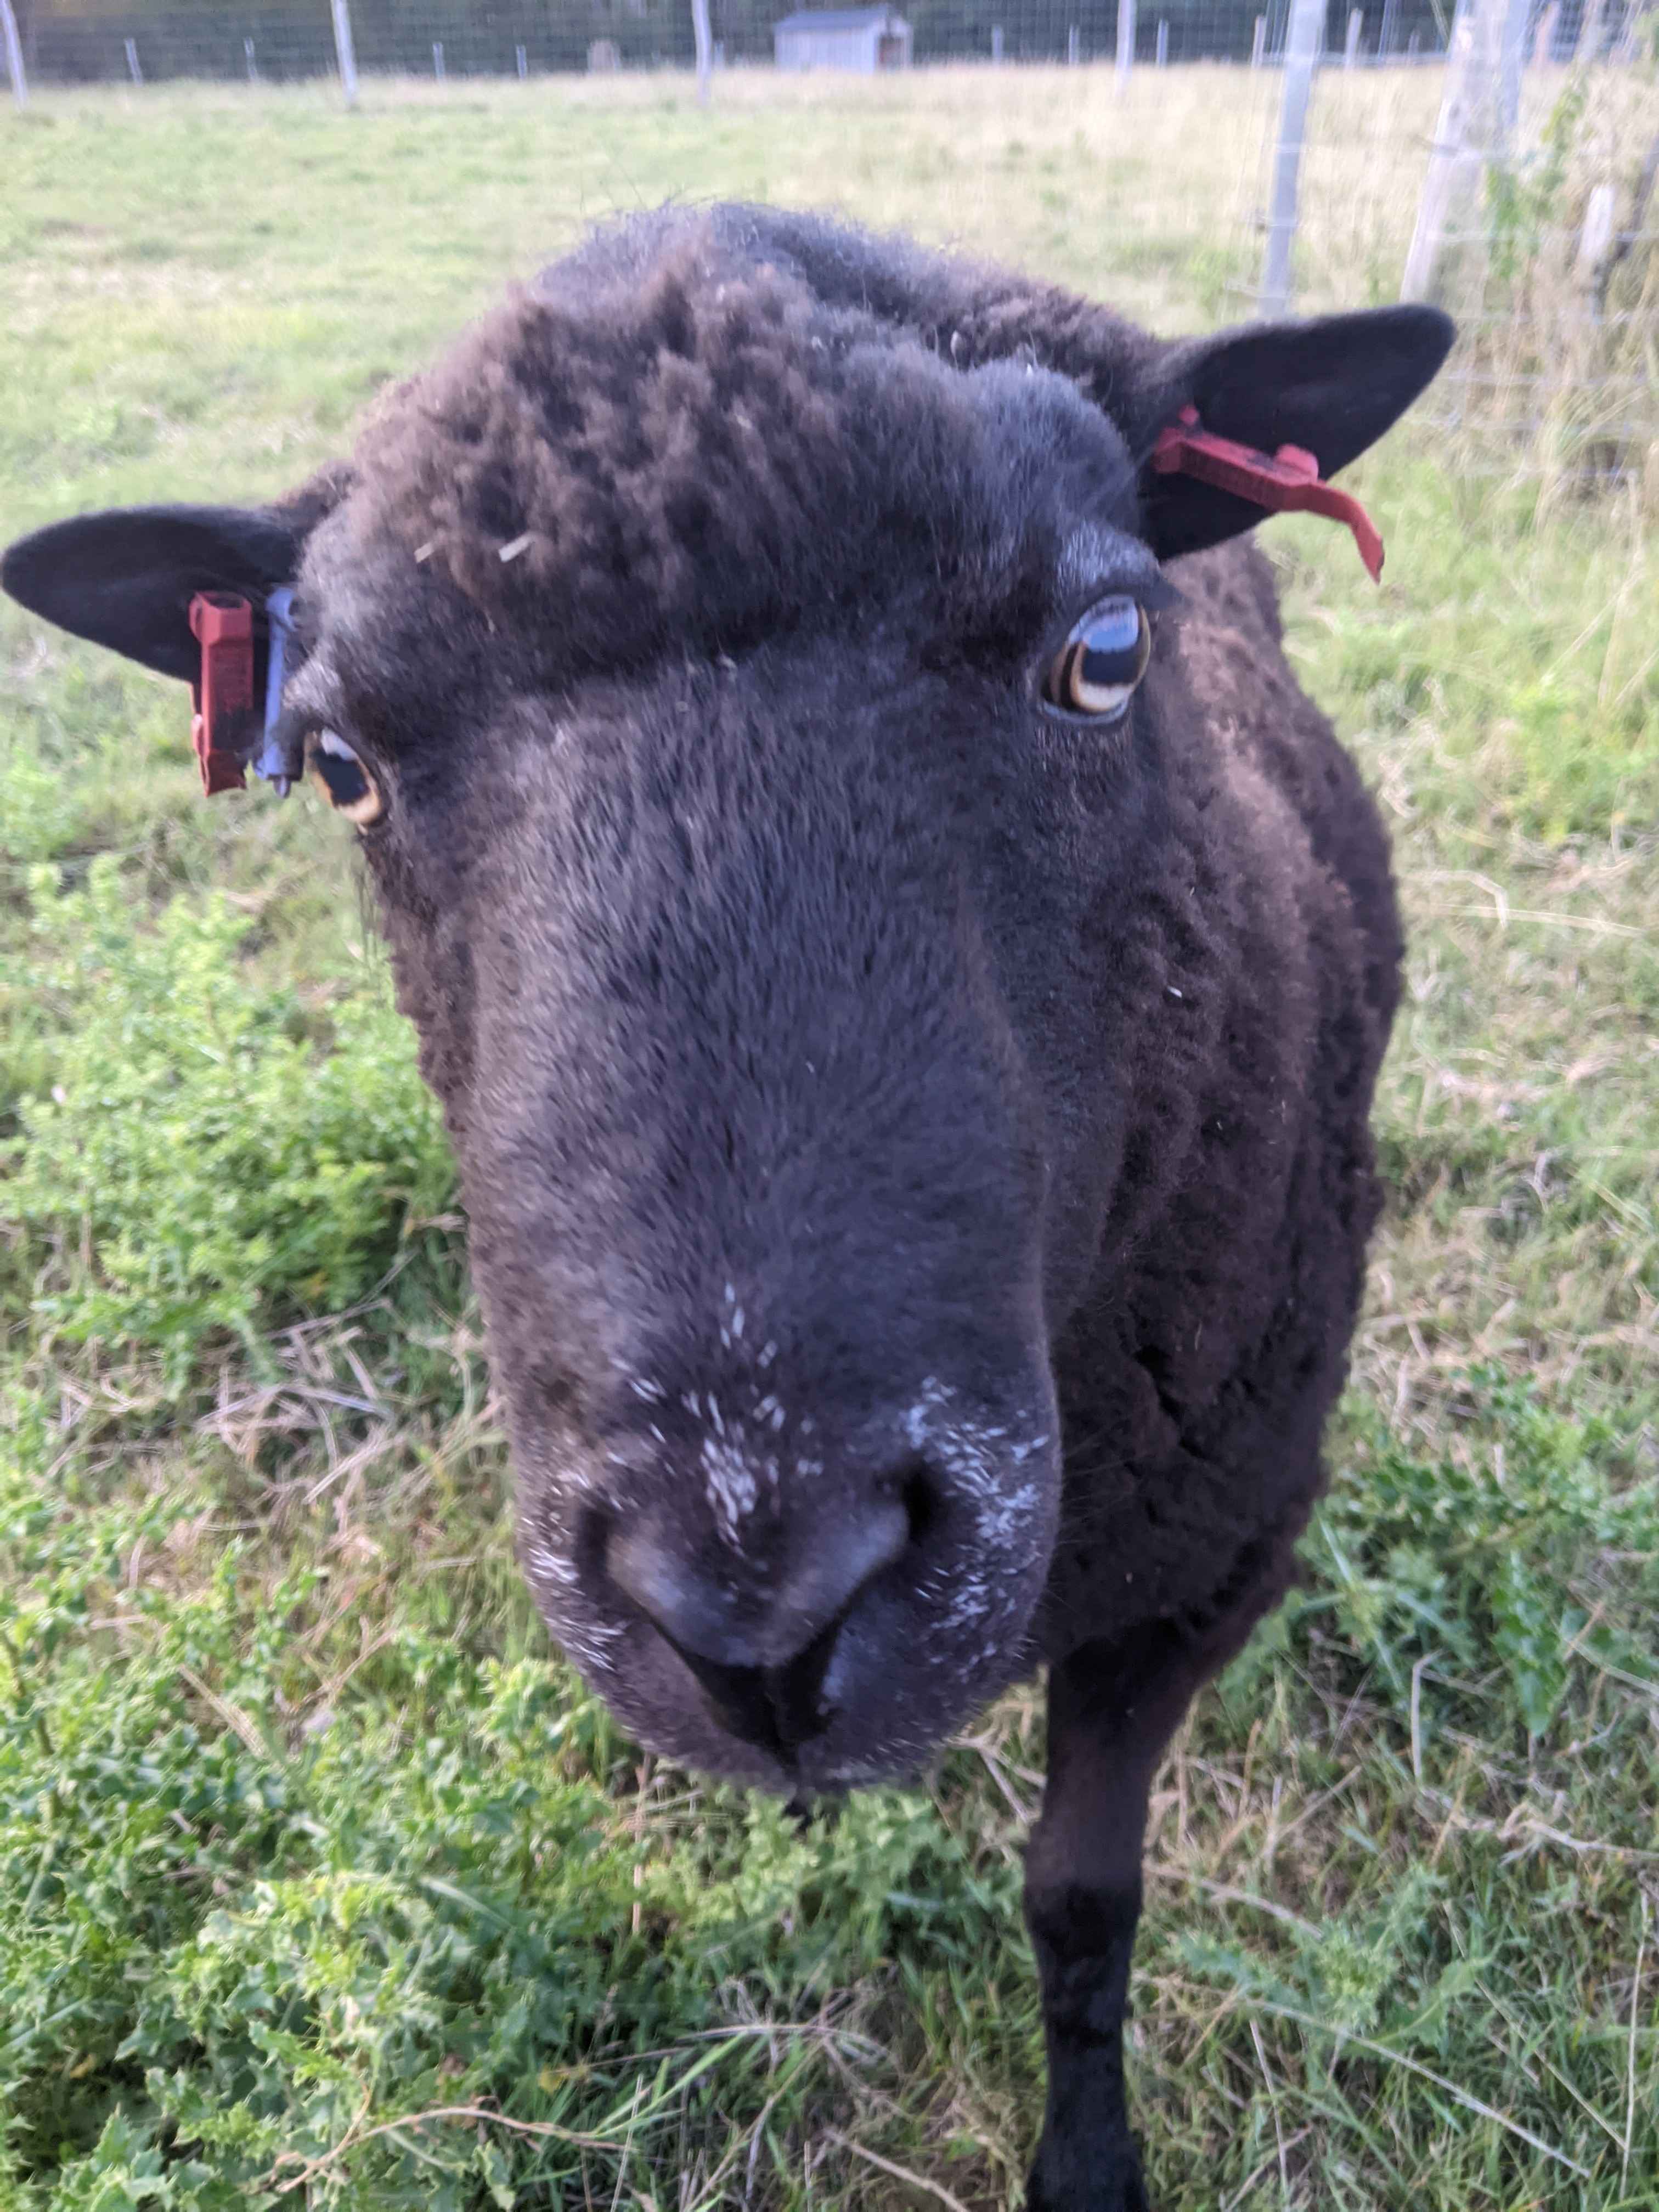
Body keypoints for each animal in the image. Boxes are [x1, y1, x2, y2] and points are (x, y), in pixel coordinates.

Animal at [2, 203, 1452, 2210]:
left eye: (1104, 649)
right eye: (341, 766)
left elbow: (1084, 1900)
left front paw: (1087, 2158)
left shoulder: (1214, 1556)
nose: (756, 1602)